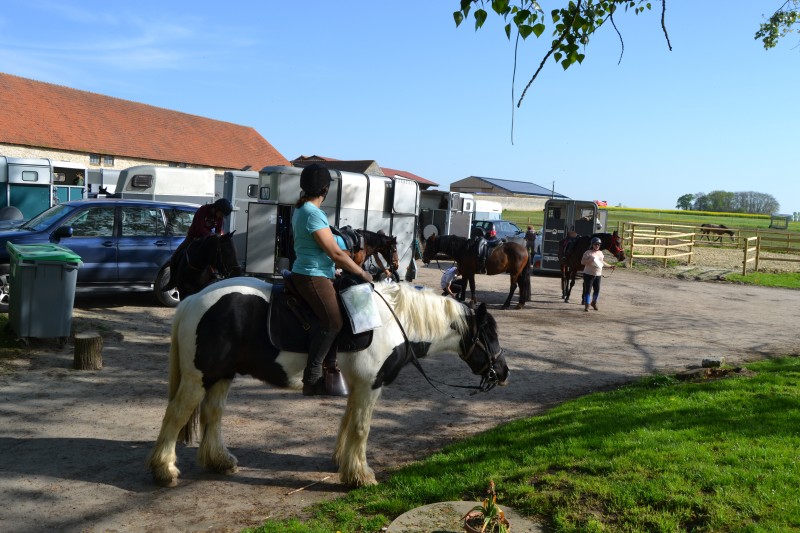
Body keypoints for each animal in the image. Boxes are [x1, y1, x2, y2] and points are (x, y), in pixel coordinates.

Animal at [147, 277, 508, 487]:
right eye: (489, 334)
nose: (503, 373)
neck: (395, 321)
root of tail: (193, 299)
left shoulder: (357, 385)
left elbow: (348, 422)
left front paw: (343, 463)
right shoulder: (369, 385)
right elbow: (361, 427)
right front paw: (361, 475)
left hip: (221, 375)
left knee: (213, 414)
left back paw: (219, 461)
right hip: (198, 377)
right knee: (176, 414)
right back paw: (165, 470)